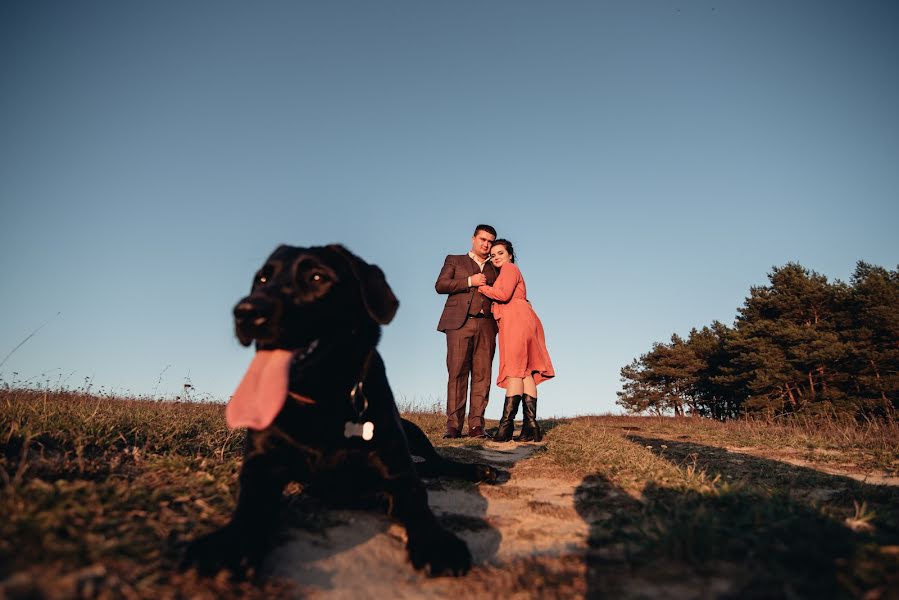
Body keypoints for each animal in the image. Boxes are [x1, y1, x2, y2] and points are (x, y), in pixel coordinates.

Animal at [183, 243, 500, 576]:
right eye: (262, 279)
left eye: (317, 277)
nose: (246, 312)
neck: (324, 399)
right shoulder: (261, 463)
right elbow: (250, 503)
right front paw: (230, 542)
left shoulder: (398, 471)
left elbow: (417, 500)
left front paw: (435, 542)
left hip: (411, 432)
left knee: (437, 463)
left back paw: (479, 469)